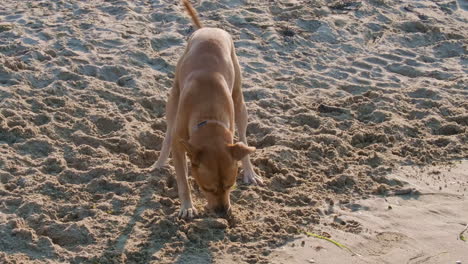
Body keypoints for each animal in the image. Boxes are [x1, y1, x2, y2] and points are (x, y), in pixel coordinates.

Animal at [153, 0, 264, 219]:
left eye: (230, 186)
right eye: (207, 188)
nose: (222, 212)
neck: (208, 113)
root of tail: (208, 29)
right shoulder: (180, 145)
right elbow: (182, 180)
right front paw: (187, 206)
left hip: (239, 103)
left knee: (243, 139)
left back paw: (250, 171)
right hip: (173, 99)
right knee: (168, 131)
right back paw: (160, 162)